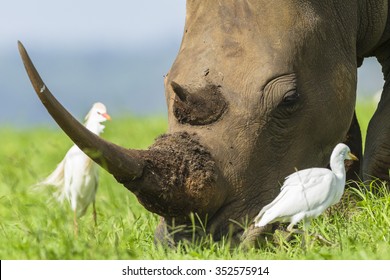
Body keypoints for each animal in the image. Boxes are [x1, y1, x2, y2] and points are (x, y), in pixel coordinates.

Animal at [19, 0, 390, 245]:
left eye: (289, 99)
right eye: (165, 82)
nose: (192, 243)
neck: (346, 7)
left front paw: (363, 210)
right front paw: (336, 213)